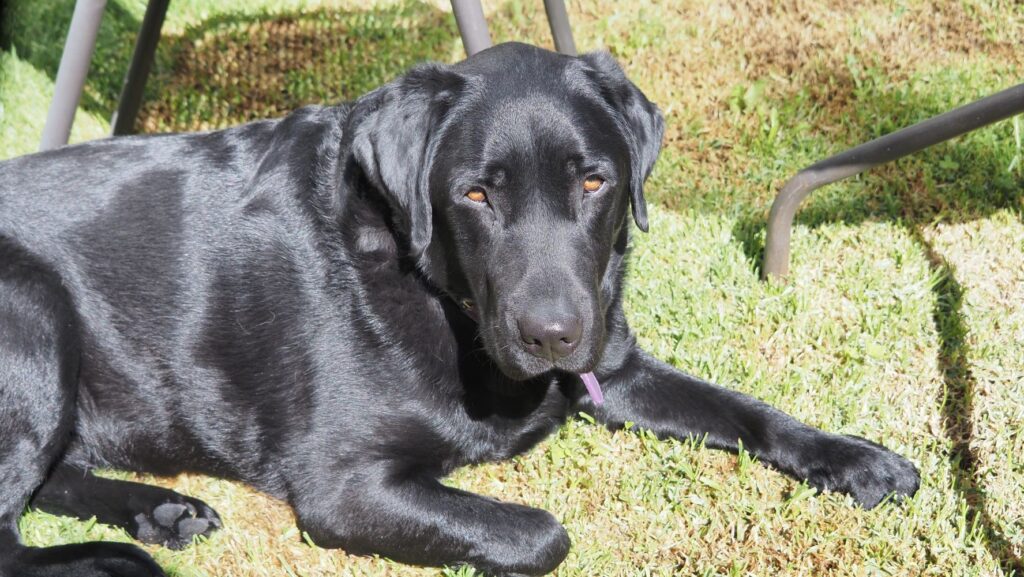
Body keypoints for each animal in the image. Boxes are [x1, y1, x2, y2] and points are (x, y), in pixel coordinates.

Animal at [0, 42, 921, 573]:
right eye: (476, 193)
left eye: (596, 181)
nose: (553, 336)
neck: (442, 298)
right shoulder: (343, 486)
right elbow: (543, 532)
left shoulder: (615, 364)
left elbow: (746, 409)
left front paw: (859, 457)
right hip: (35, 310)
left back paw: (157, 510)